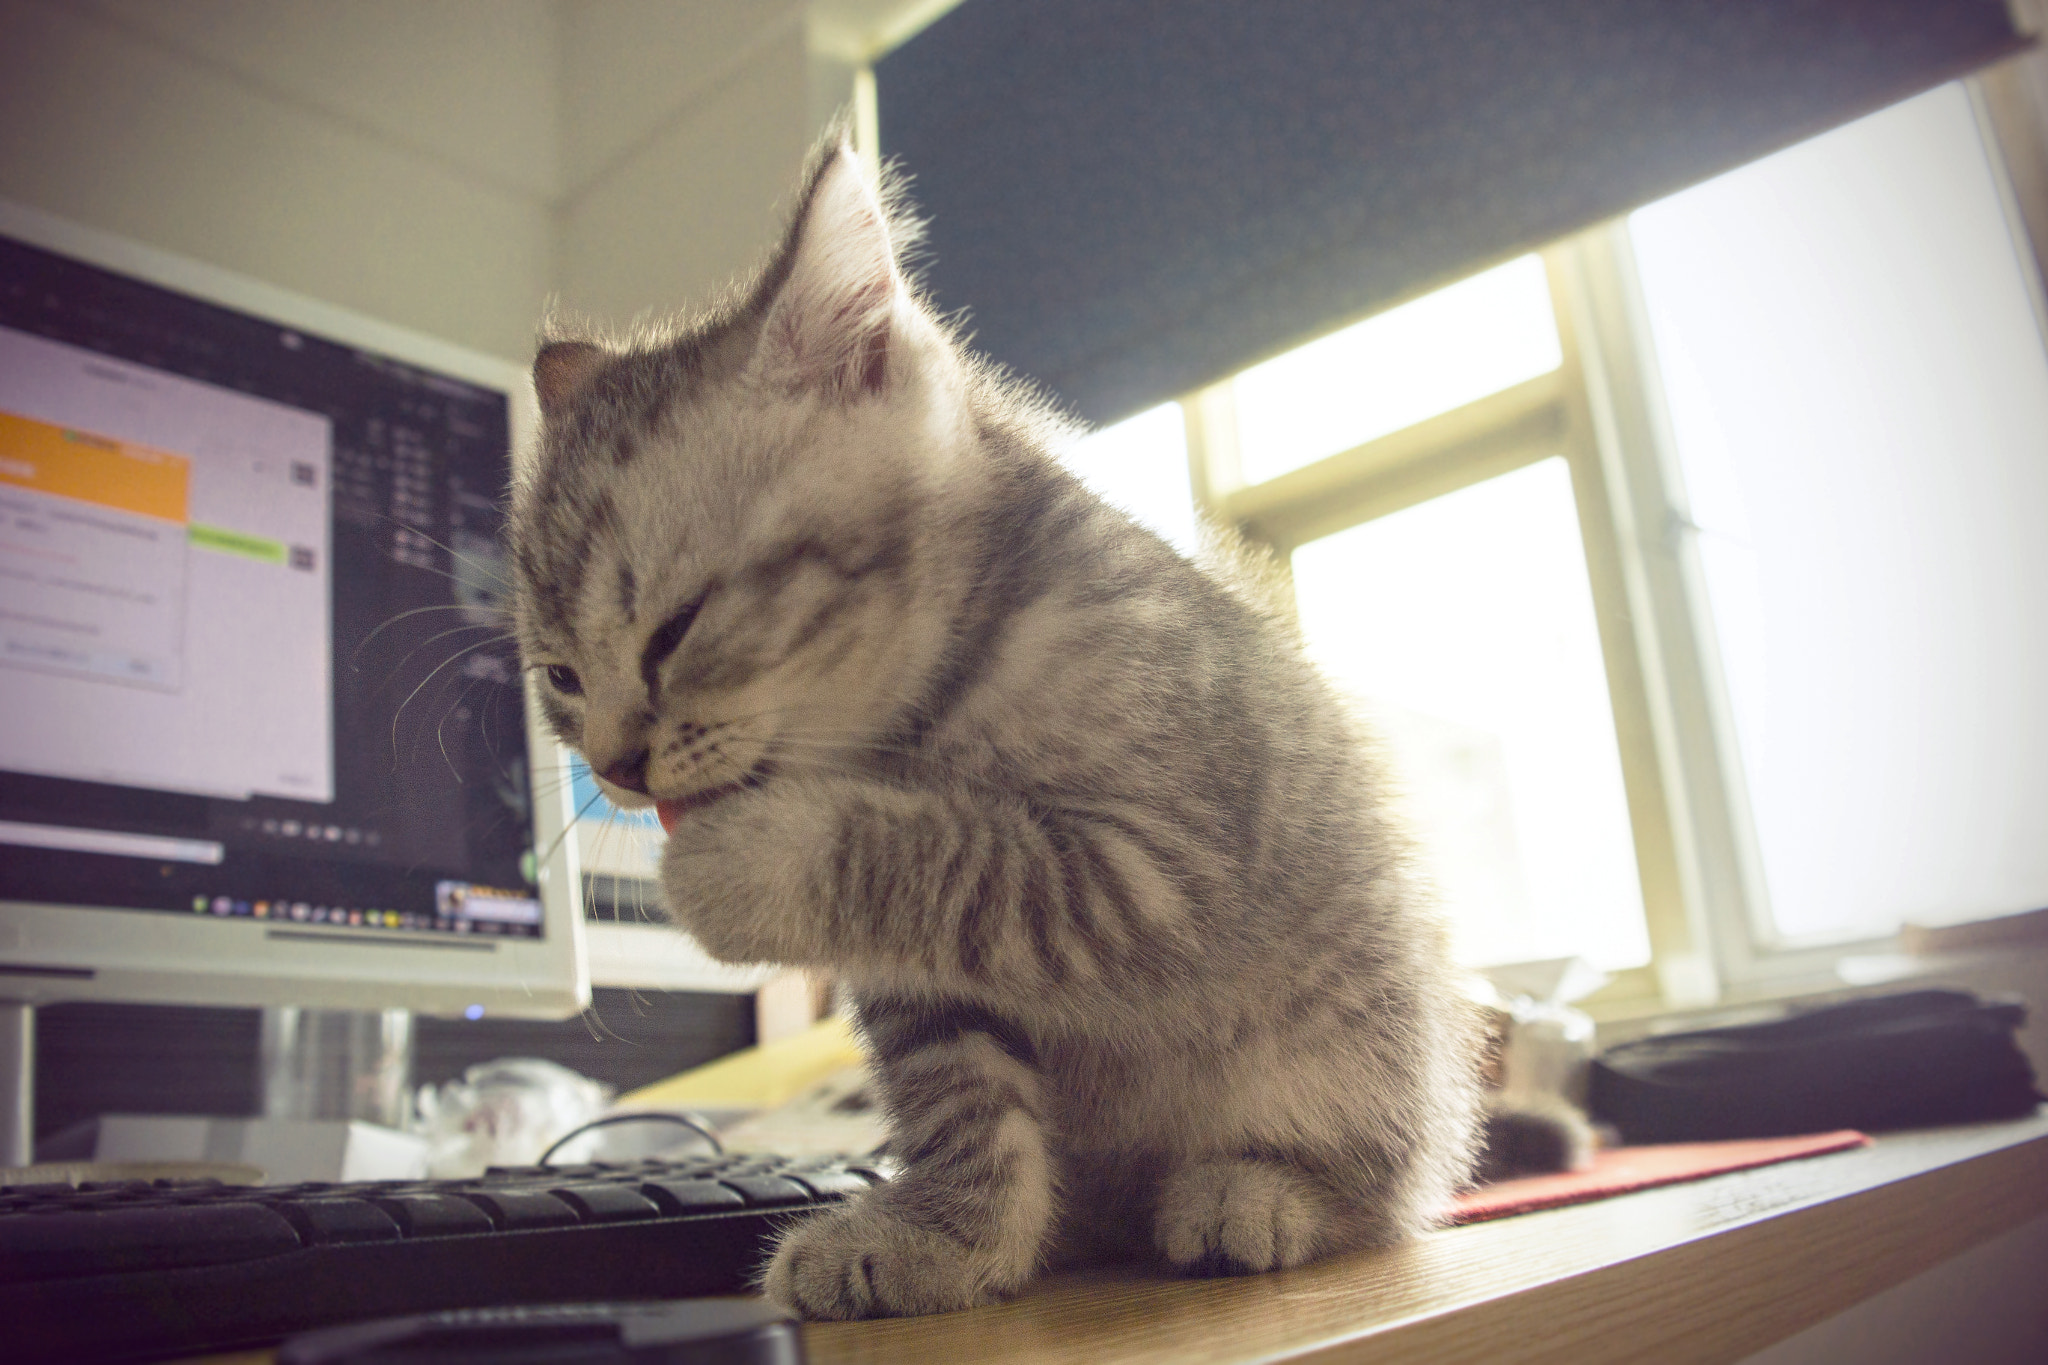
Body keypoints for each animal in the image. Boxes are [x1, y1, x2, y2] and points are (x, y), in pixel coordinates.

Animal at [503, 144, 1482, 1317]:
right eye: (560, 677)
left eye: (676, 628)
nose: (615, 765)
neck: (917, 721)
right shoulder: (924, 986)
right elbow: (961, 1093)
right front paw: (950, 1238)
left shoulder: (1168, 865)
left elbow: (963, 858)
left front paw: (740, 866)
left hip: (1363, 1044)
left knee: (1389, 1187)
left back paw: (1260, 1193)